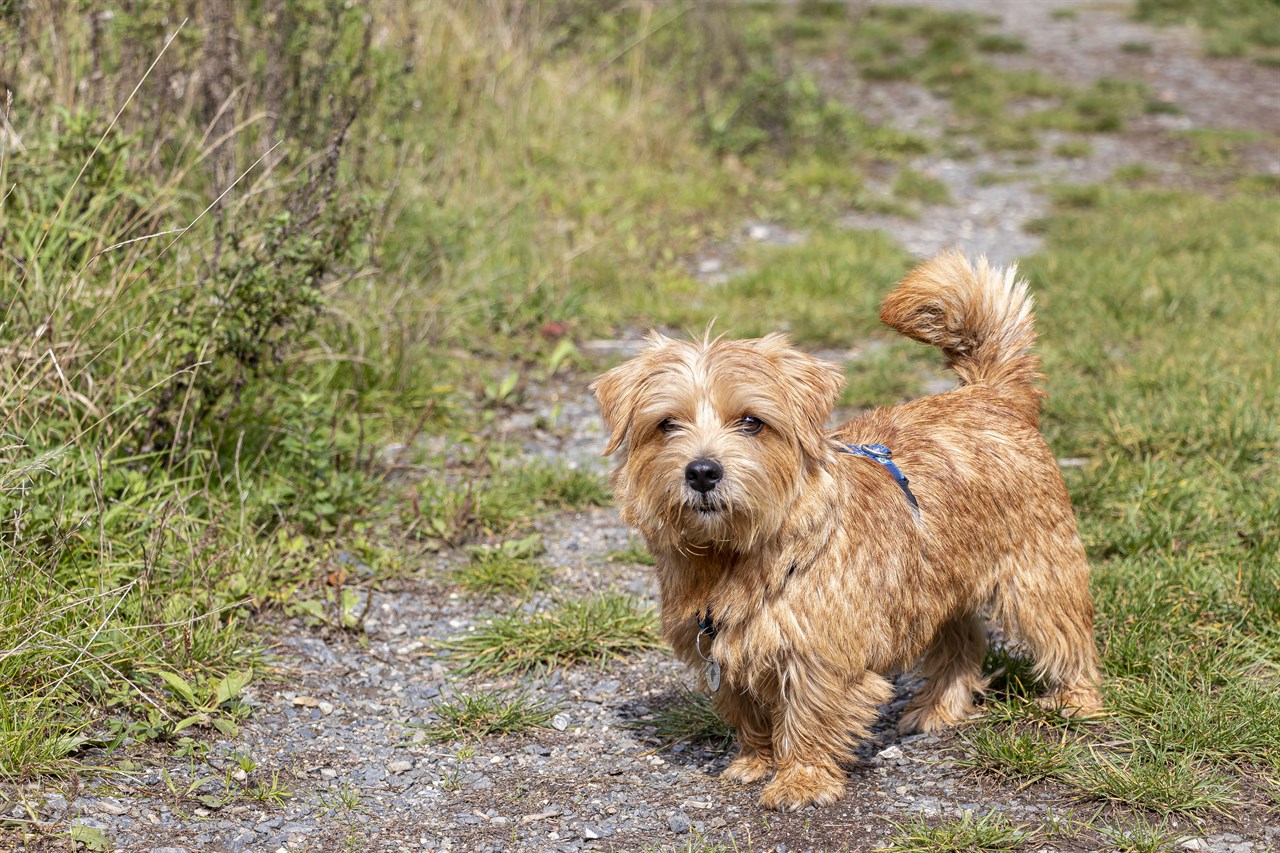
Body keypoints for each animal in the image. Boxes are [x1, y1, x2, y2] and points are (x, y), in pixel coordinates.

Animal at [588, 249, 1100, 809]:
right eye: (666, 424)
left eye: (751, 422)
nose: (702, 471)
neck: (732, 556)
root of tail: (992, 394)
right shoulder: (716, 647)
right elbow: (747, 710)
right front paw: (753, 761)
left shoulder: (820, 655)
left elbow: (809, 716)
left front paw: (800, 780)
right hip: (935, 585)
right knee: (962, 643)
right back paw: (938, 709)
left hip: (1038, 575)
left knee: (1068, 638)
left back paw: (1077, 702)